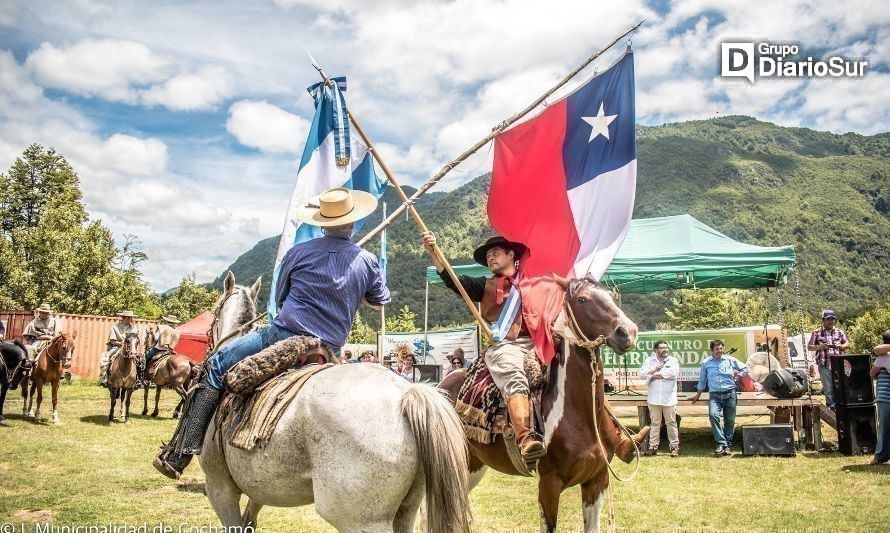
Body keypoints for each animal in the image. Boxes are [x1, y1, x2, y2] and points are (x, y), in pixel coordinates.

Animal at [197, 272, 468, 528]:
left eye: (214, 312)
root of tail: (406, 394)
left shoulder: (219, 487)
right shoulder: (258, 488)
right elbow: (250, 518)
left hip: (362, 519)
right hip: (407, 509)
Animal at [440, 276, 648, 528]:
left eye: (610, 295)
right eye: (582, 299)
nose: (627, 333)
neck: (578, 415)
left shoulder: (597, 480)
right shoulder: (549, 484)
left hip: (474, 464)